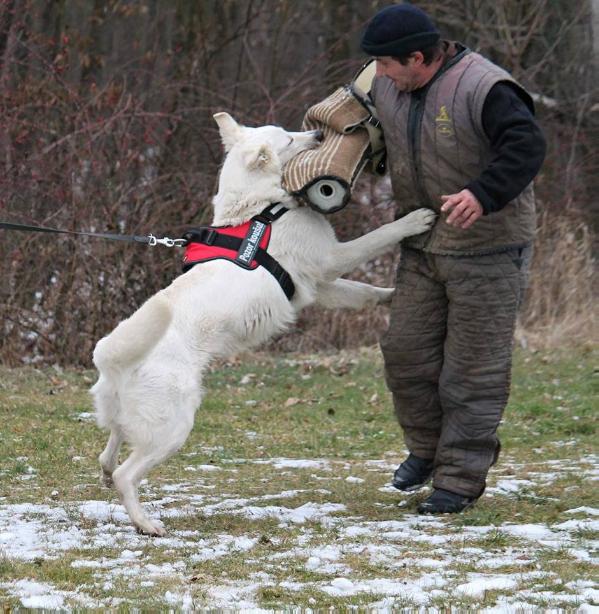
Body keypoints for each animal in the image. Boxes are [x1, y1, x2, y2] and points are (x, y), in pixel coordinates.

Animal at [90, 113, 436, 536]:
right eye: (288, 139)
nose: (318, 133)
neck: (261, 208)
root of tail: (113, 363)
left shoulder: (321, 286)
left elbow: (364, 291)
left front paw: (390, 295)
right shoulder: (333, 259)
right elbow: (379, 236)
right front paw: (415, 219)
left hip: (131, 418)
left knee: (111, 449)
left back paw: (107, 474)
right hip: (174, 428)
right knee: (128, 474)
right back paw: (146, 523)